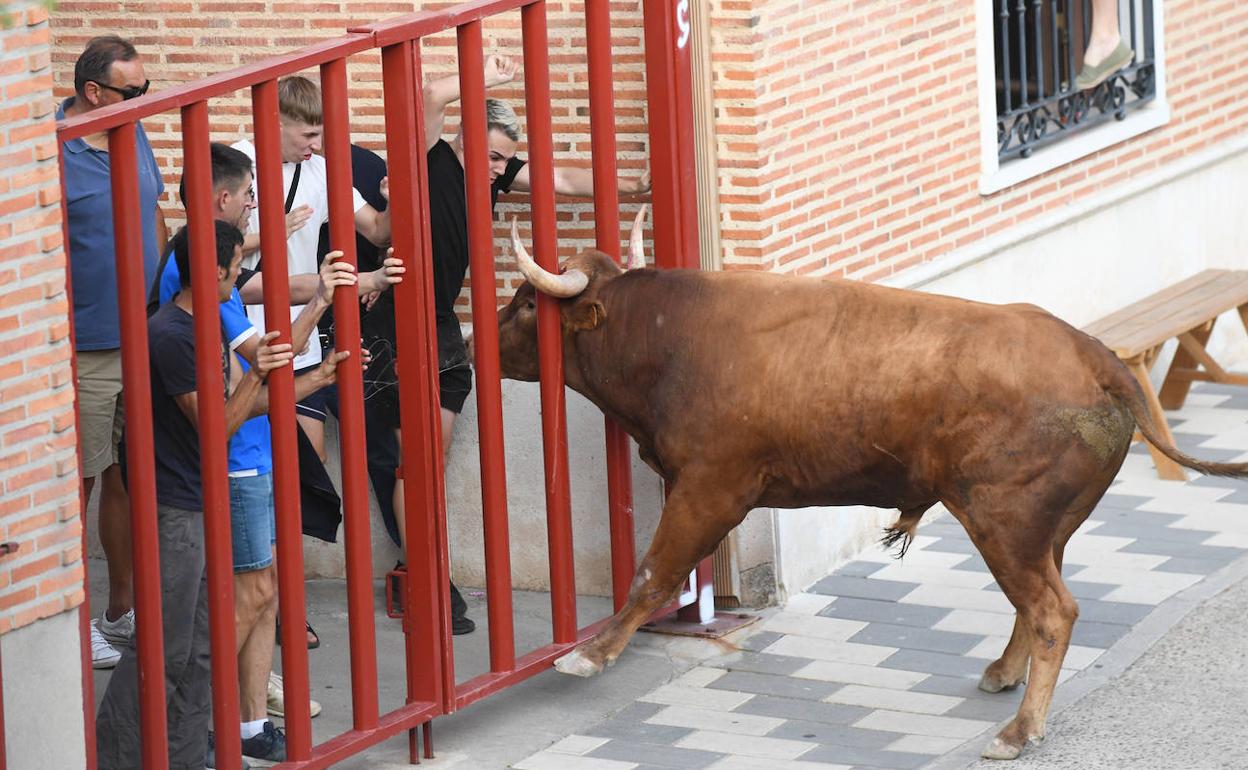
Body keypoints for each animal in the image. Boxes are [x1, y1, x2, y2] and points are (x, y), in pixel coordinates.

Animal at [494, 208, 1248, 758]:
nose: (478, 339)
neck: (668, 335)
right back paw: (1004, 676)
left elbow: (653, 571)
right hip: (1038, 528)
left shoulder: (711, 487)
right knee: (1036, 604)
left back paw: (1018, 731)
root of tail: (1094, 355)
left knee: (1052, 610)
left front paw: (588, 656)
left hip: (1003, 521)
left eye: (528, 303)